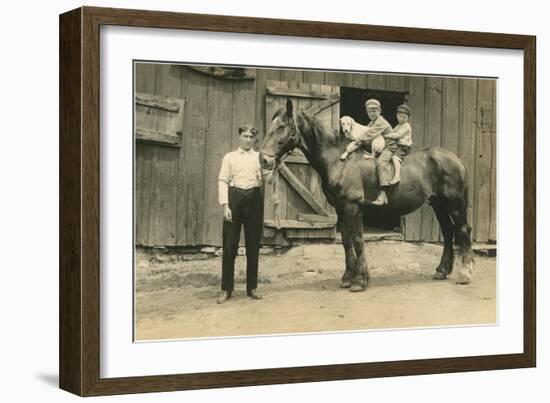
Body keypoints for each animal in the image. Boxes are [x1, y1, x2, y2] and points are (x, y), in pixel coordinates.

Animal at [260, 99, 476, 292]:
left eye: (281, 127)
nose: (264, 160)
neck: (339, 161)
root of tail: (455, 159)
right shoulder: (341, 210)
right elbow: (346, 241)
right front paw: (347, 278)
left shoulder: (353, 208)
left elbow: (357, 240)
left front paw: (360, 281)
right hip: (438, 204)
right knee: (448, 232)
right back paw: (442, 270)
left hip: (455, 204)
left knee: (462, 230)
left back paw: (465, 273)